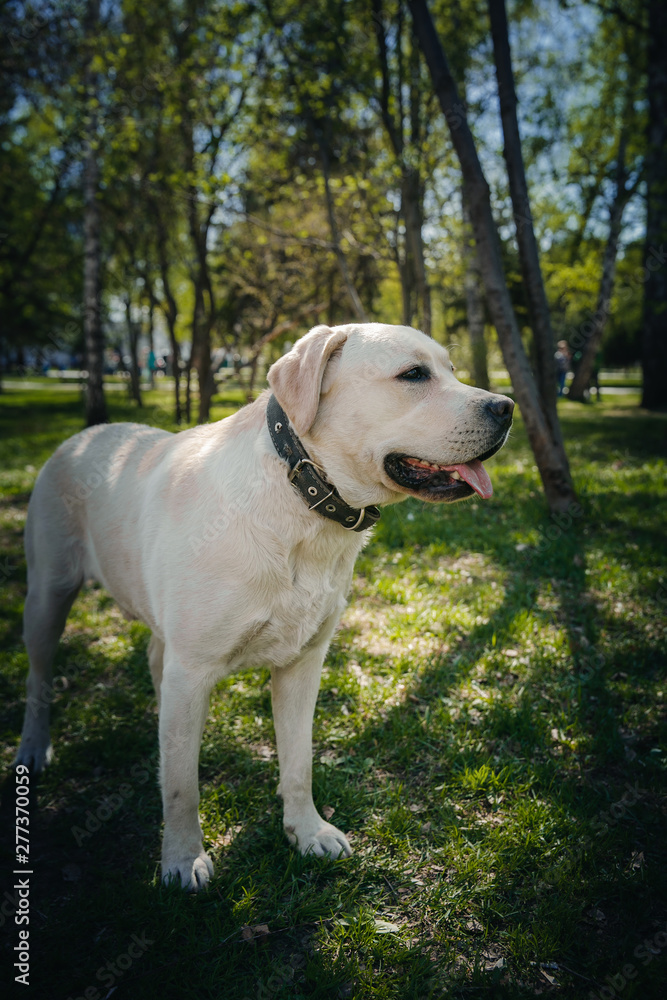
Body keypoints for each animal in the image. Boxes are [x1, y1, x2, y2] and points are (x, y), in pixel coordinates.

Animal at [17, 324, 516, 888]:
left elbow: (298, 762)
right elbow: (183, 788)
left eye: (451, 370)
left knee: (154, 664)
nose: (507, 407)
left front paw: (306, 830)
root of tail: (84, 435)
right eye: (413, 374)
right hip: (47, 597)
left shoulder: (303, 663)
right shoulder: (193, 667)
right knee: (38, 678)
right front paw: (182, 858)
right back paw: (33, 747)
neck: (302, 497)